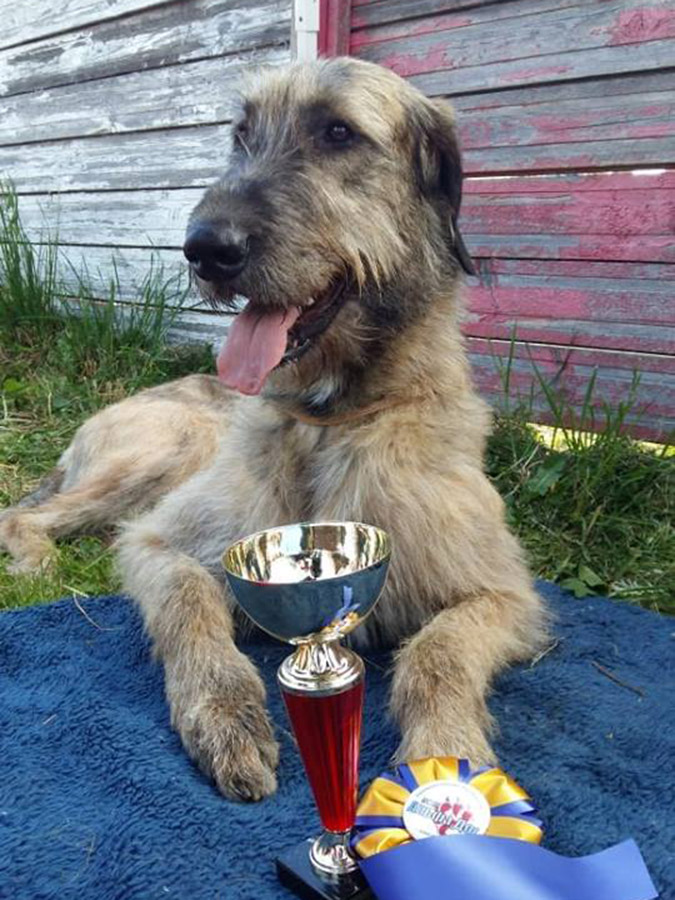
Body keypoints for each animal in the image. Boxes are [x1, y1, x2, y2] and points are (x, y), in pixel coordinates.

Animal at [3, 58, 548, 800]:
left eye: (338, 132)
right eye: (240, 134)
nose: (204, 248)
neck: (330, 420)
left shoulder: (502, 593)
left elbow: (441, 650)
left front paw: (445, 761)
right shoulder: (159, 542)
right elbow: (187, 600)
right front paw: (223, 710)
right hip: (164, 450)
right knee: (24, 514)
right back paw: (35, 559)